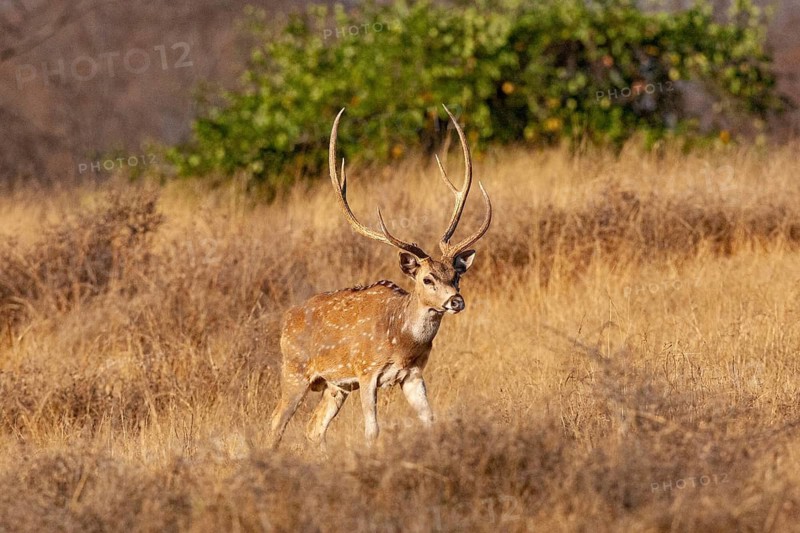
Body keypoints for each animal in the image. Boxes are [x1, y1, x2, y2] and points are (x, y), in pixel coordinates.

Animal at [269, 106, 492, 449]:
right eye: (427, 279)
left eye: (456, 275)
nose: (456, 301)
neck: (401, 339)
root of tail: (285, 320)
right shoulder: (366, 371)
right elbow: (372, 429)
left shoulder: (413, 374)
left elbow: (429, 420)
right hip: (294, 370)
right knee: (276, 422)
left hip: (335, 385)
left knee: (313, 427)